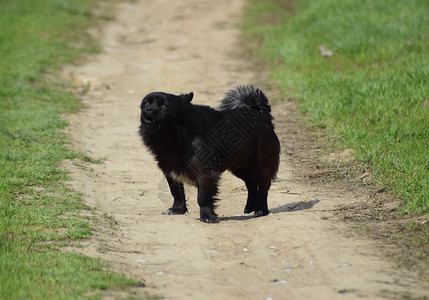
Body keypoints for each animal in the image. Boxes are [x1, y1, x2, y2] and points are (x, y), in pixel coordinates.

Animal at [139, 85, 280, 221]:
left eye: (164, 106)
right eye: (145, 104)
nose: (149, 109)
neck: (179, 133)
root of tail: (260, 115)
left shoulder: (204, 173)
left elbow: (202, 197)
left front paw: (207, 215)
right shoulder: (171, 172)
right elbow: (176, 193)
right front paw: (178, 209)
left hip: (262, 168)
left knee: (263, 189)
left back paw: (261, 209)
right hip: (241, 168)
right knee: (251, 185)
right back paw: (249, 207)